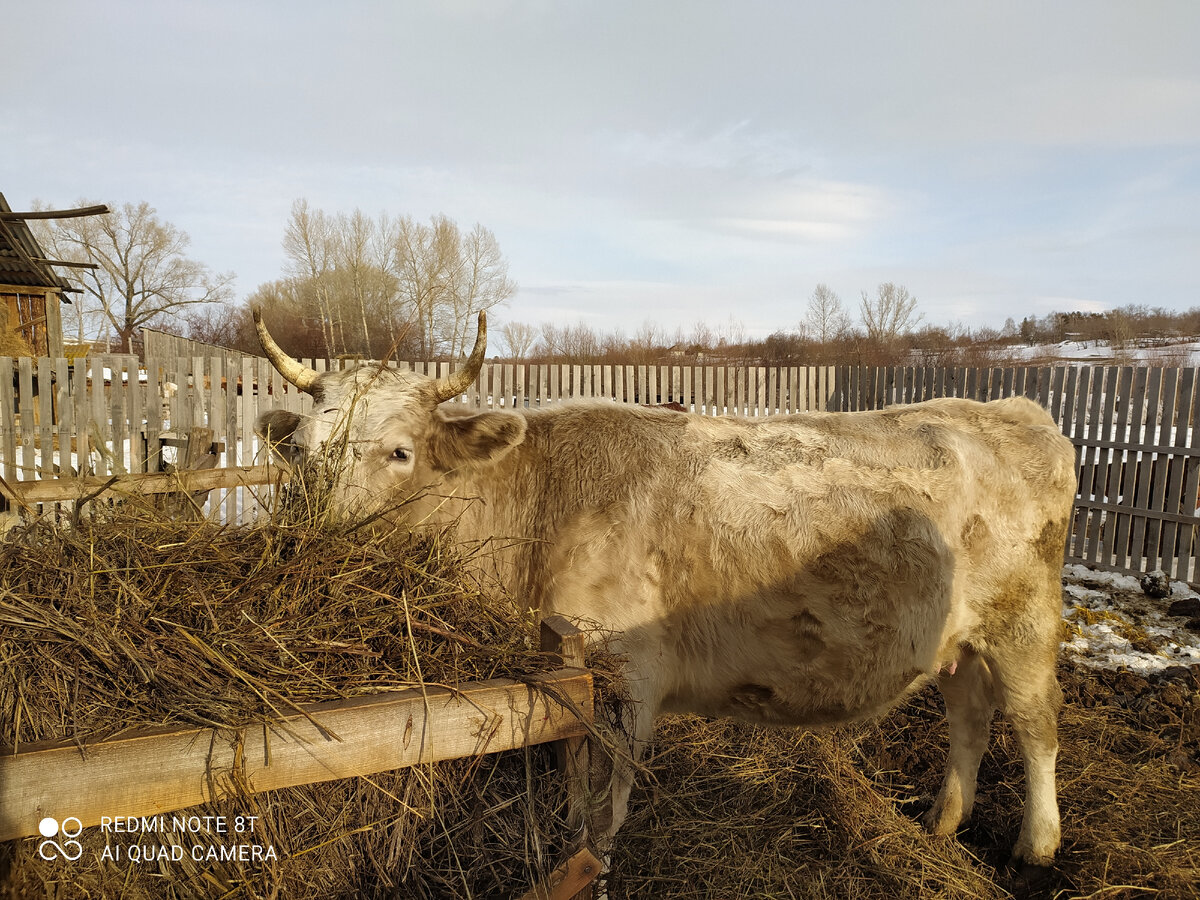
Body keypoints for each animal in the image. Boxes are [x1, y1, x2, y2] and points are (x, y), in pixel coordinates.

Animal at [255, 309, 1080, 868]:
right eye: (301, 450)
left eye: (400, 452)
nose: (315, 543)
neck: (535, 505)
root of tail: (1006, 408)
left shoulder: (624, 680)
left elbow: (598, 812)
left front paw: (588, 867)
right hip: (959, 637)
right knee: (970, 713)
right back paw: (943, 823)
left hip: (1025, 623)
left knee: (1036, 721)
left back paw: (1037, 844)